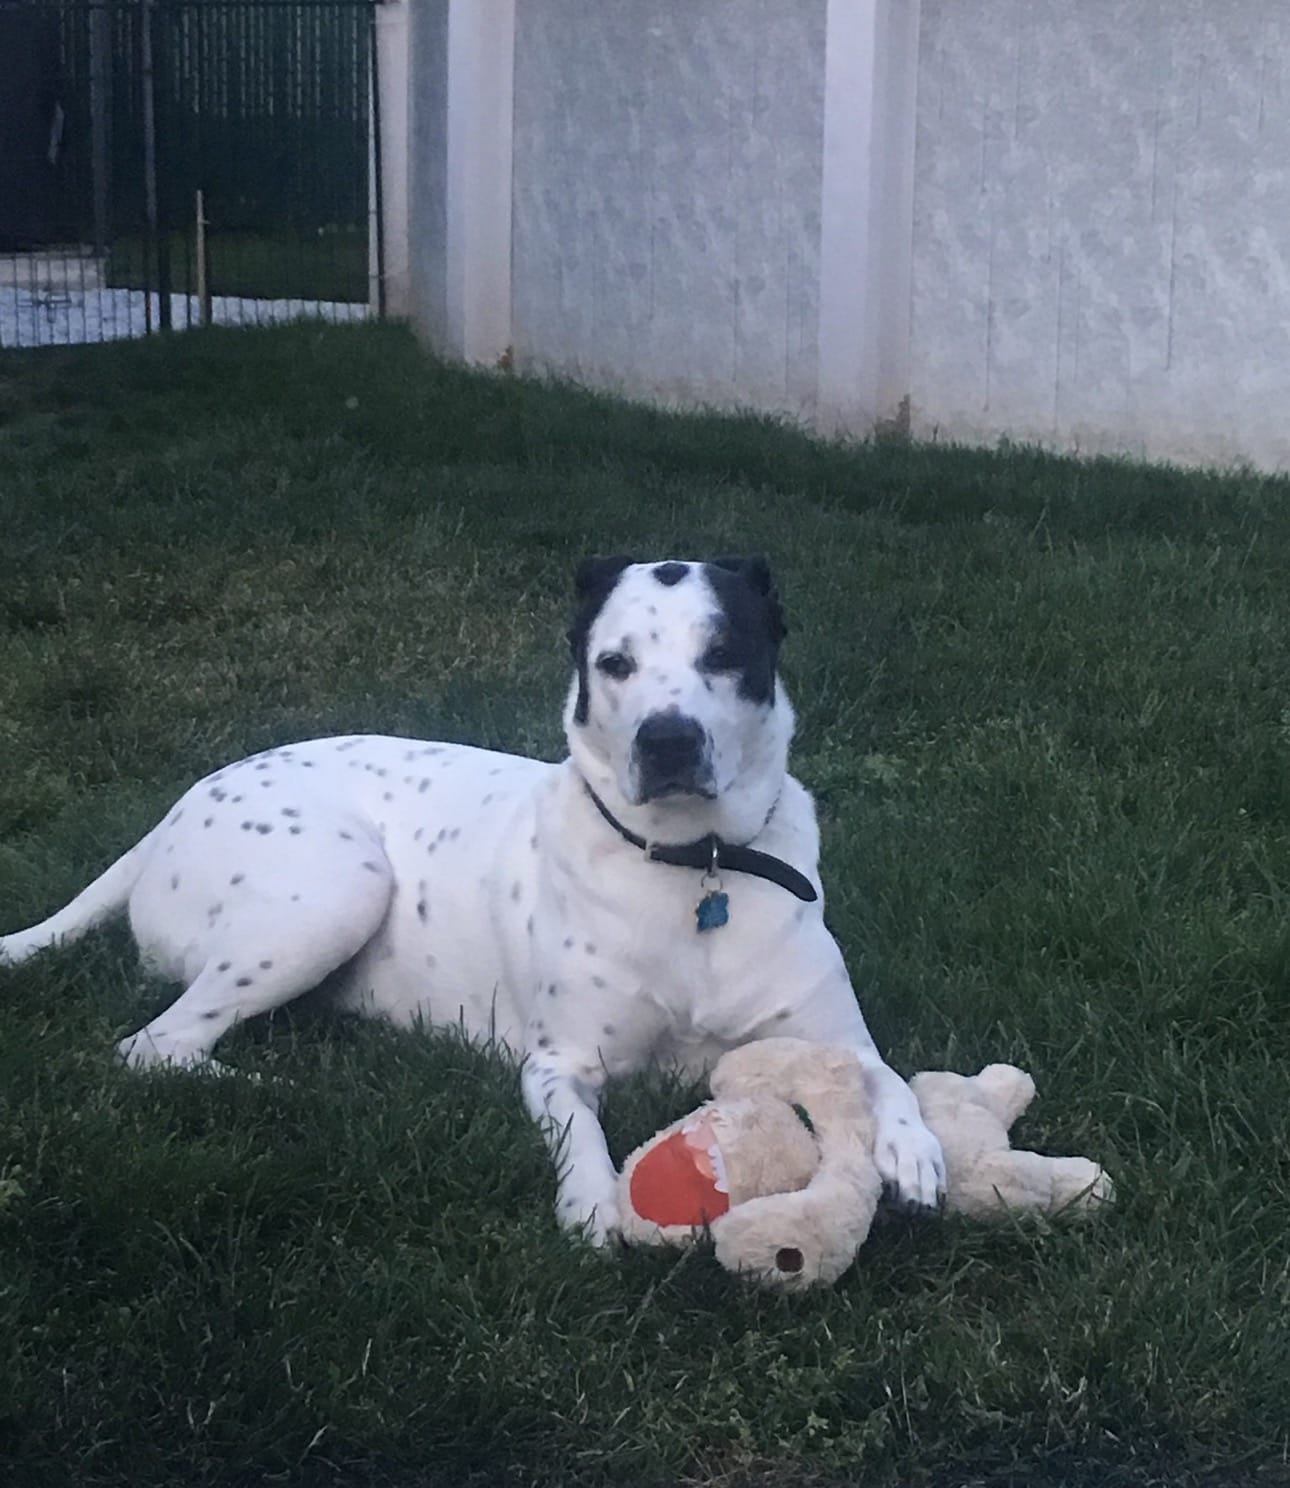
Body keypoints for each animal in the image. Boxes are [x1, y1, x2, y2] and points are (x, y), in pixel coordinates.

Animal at [0, 556, 945, 1241]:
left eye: (724, 654)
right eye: (615, 664)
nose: (668, 740)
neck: (695, 866)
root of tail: (172, 812)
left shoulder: (835, 1037)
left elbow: (884, 1075)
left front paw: (913, 1146)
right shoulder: (560, 1065)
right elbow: (580, 1137)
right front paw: (595, 1204)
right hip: (340, 886)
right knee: (155, 1047)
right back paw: (291, 1089)